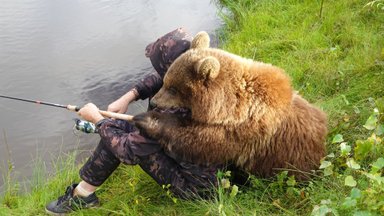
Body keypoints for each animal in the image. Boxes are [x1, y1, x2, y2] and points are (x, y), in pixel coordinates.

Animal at [134, 30, 328, 179]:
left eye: (173, 88)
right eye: (165, 81)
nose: (154, 102)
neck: (228, 106)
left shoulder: (243, 132)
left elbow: (199, 141)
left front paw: (149, 120)